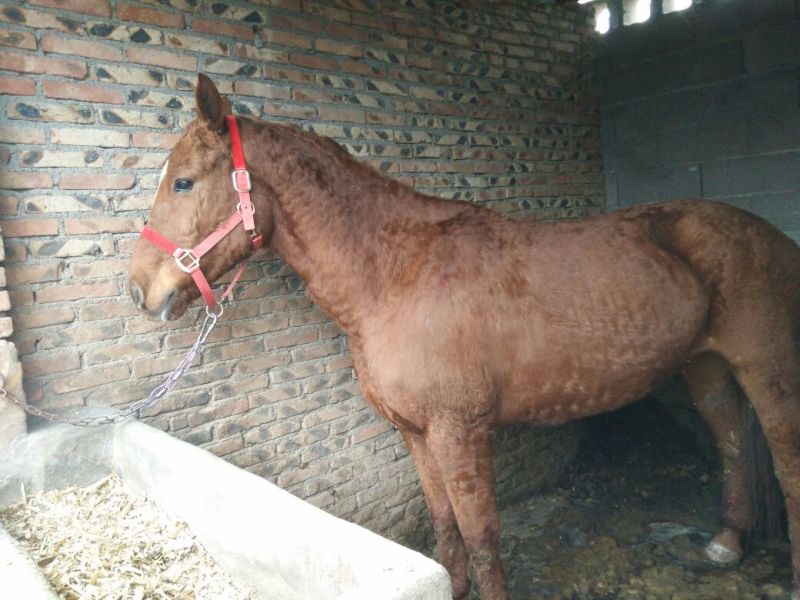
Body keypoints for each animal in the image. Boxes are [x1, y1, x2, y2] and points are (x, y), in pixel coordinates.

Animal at [128, 74, 800, 600]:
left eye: (183, 182)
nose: (138, 291)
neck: (394, 275)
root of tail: (771, 235)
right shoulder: (417, 434)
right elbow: (445, 528)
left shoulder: (462, 432)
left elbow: (480, 536)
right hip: (705, 365)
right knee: (732, 441)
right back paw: (726, 542)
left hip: (766, 365)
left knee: (784, 456)